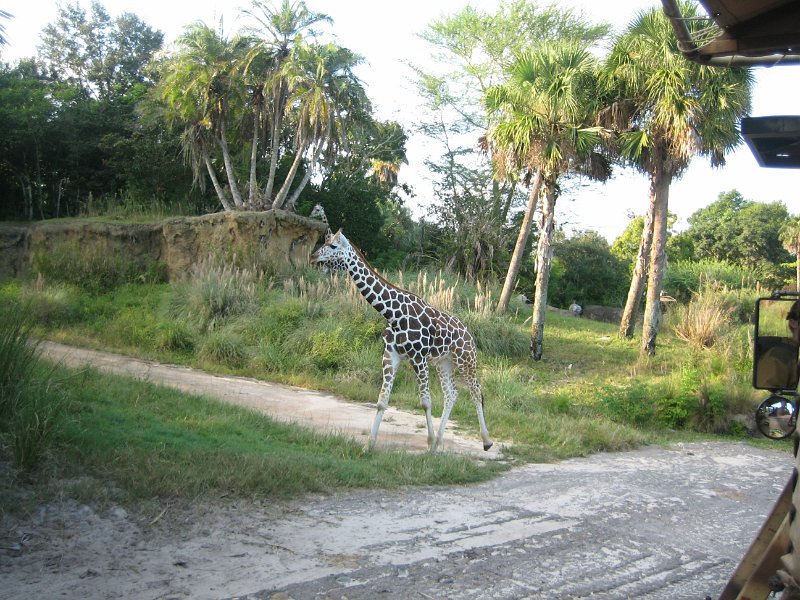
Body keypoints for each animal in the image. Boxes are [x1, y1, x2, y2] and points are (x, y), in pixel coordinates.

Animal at [310, 229, 494, 450]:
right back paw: (438, 443)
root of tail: (469, 334)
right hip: (444, 362)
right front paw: (368, 445)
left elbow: (425, 402)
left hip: (466, 360)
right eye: (325, 242)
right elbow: (382, 401)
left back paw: (486, 441)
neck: (394, 315)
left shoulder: (418, 358)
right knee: (452, 393)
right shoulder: (391, 355)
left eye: (333, 246)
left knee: (476, 391)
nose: (313, 256)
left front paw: (428, 442)